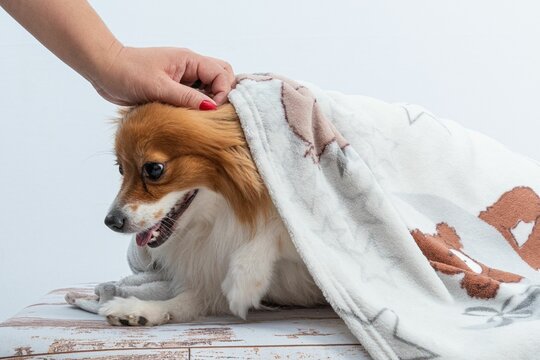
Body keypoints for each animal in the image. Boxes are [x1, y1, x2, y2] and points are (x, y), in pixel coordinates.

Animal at [98, 102, 324, 326]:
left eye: (154, 169)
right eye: (121, 169)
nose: (111, 221)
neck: (223, 218)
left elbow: (281, 227)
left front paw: (244, 280)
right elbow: (186, 301)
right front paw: (140, 309)